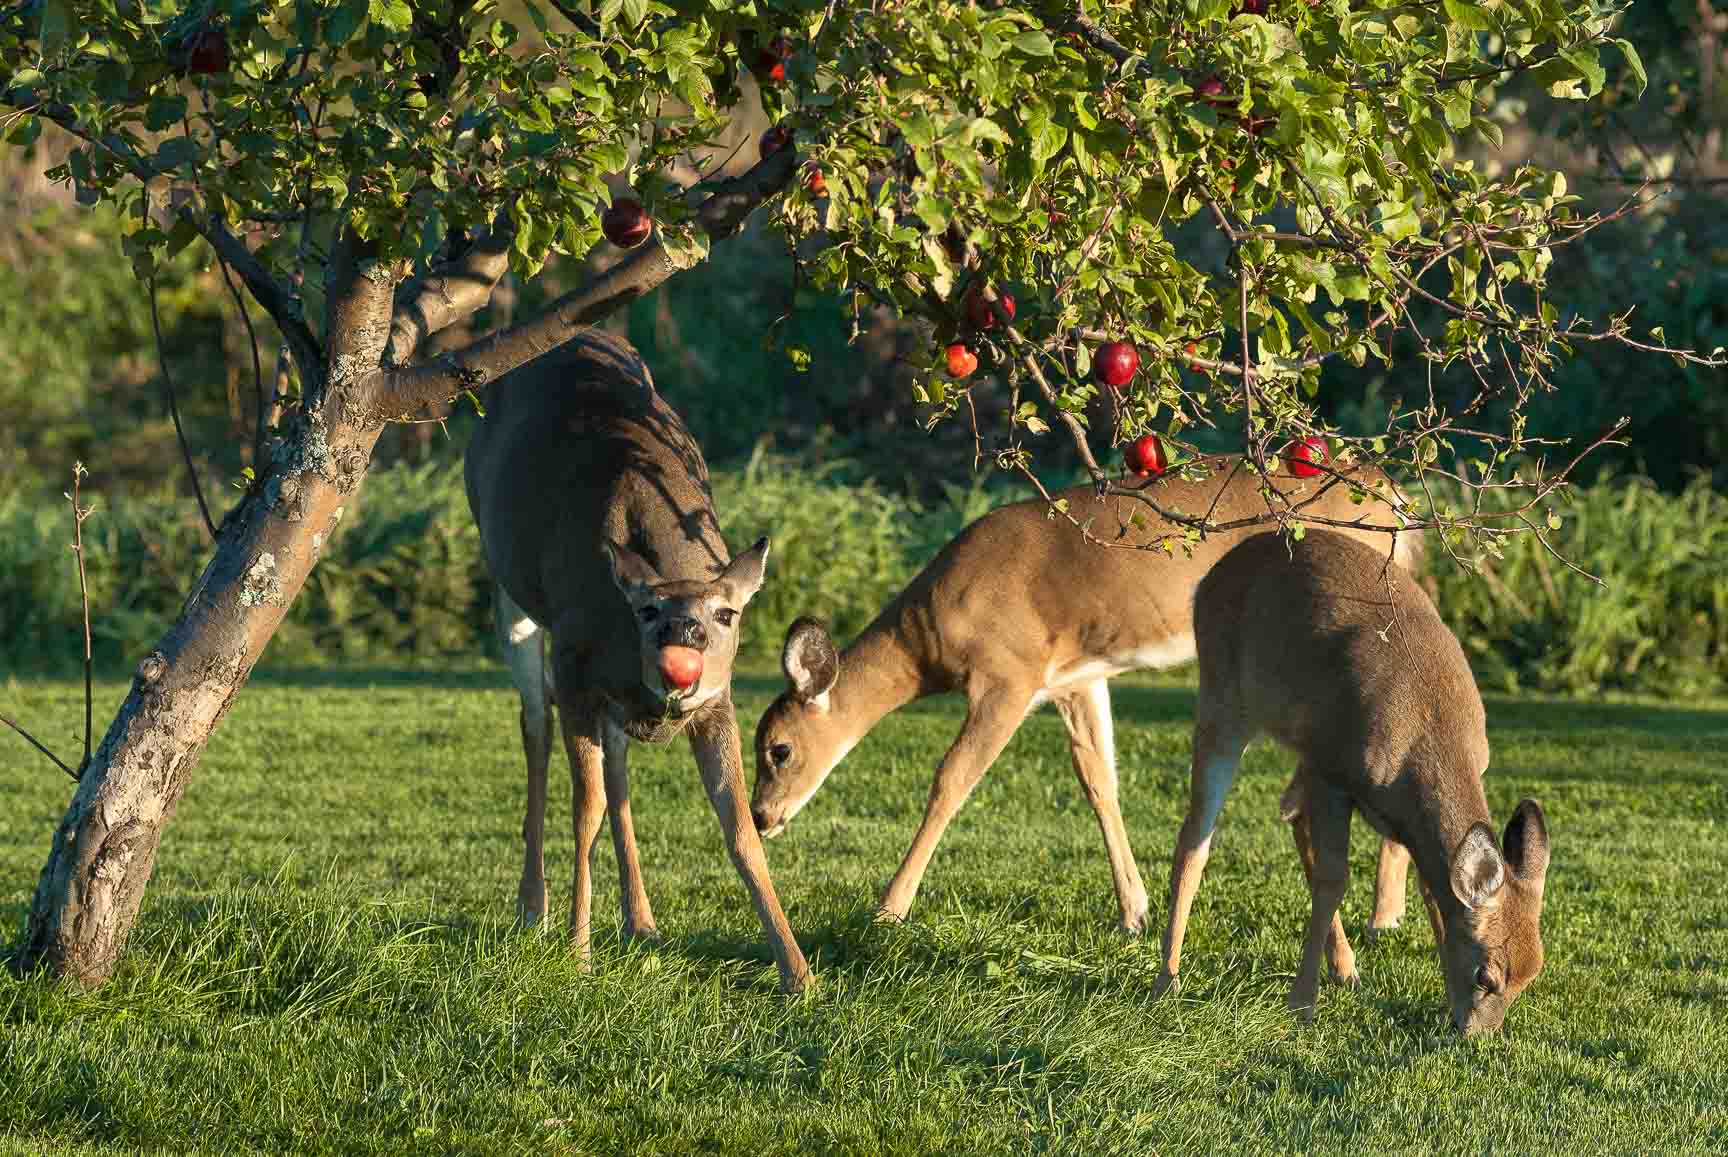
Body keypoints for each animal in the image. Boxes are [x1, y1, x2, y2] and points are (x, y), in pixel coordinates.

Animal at [459, 328, 808, 994]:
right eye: (645, 611)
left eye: (727, 613)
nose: (684, 638)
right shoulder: (574, 667)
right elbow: (585, 809)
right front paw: (578, 951)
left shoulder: (717, 700)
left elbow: (739, 827)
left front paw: (797, 971)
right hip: (509, 589)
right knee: (535, 726)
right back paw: (533, 908)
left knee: (617, 763)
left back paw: (641, 921)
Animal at [749, 455, 1423, 953]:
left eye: (778, 749)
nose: (759, 817)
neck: (929, 638)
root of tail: (1396, 501)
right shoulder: (1075, 679)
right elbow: (1099, 781)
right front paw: (1134, 912)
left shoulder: (1008, 674)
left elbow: (951, 779)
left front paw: (889, 909)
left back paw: (1384, 916)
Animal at [1161, 531, 1555, 1036]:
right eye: (1486, 976)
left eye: (1532, 975)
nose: (1477, 1036)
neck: (1426, 732)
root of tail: (1214, 574)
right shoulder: (1333, 774)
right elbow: (1333, 881)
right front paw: (1302, 1005)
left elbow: (1433, 891)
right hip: (1224, 700)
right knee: (1195, 839)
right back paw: (1166, 981)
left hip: (1298, 742)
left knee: (1290, 811)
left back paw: (1345, 968)